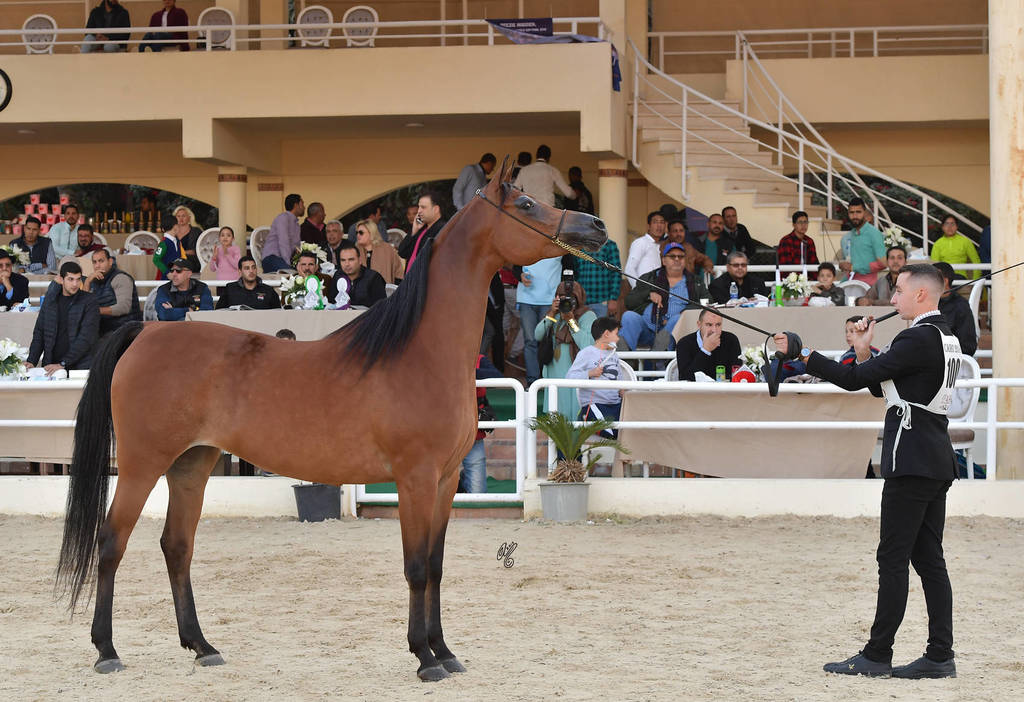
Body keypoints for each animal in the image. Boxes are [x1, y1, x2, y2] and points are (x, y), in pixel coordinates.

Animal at [55, 157, 608, 682]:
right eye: (527, 204)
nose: (596, 226)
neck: (421, 352)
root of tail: (144, 333)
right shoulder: (414, 479)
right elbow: (415, 567)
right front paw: (424, 657)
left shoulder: (447, 480)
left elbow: (435, 566)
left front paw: (446, 653)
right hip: (143, 464)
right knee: (112, 541)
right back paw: (107, 651)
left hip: (192, 465)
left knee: (177, 545)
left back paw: (202, 646)